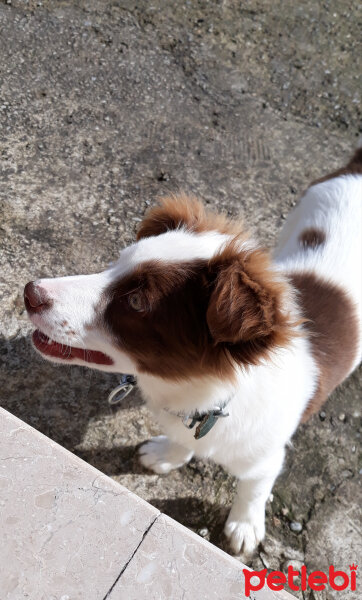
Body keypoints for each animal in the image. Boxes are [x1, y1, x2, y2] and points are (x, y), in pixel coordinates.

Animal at [24, 144, 360, 552]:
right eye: (114, 264)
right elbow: (181, 440)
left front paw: (245, 525)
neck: (205, 393)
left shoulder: (267, 456)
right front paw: (168, 454)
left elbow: (254, 487)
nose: (30, 292)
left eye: (136, 302)